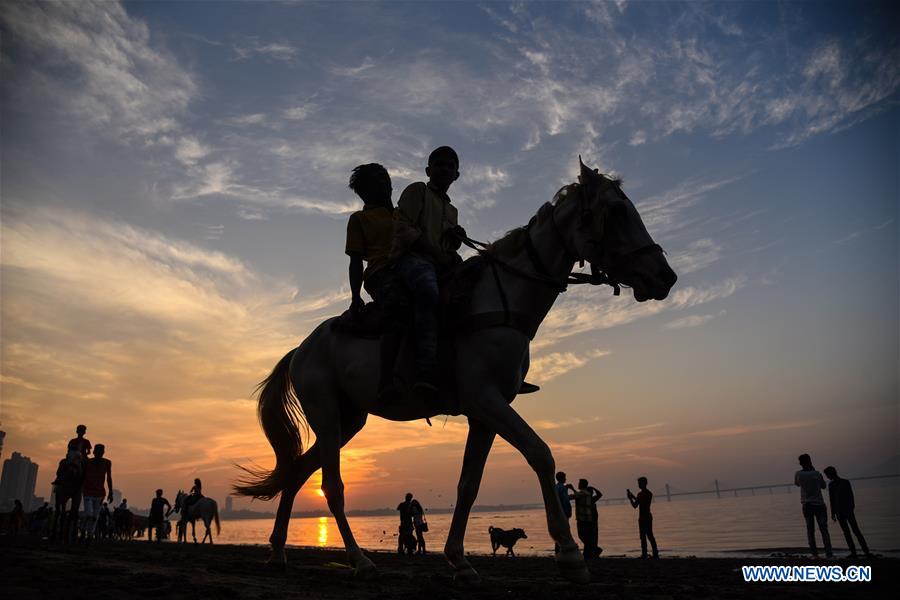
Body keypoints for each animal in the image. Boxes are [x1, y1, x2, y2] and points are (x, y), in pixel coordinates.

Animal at [234, 157, 676, 584]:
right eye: (616, 211)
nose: (665, 276)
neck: (500, 299)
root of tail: (301, 349)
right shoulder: (487, 400)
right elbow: (541, 454)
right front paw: (569, 556)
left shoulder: (484, 414)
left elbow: (469, 485)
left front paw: (459, 560)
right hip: (326, 413)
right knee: (331, 486)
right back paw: (360, 561)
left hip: (349, 420)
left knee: (296, 474)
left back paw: (277, 552)